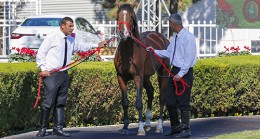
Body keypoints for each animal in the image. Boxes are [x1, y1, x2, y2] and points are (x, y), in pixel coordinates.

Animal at [114, 0, 171, 136]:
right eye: (118, 17)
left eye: (130, 16)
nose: (123, 34)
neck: (128, 53)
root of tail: (161, 37)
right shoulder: (120, 78)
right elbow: (125, 102)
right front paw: (125, 127)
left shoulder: (137, 77)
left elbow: (139, 102)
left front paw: (140, 129)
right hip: (146, 77)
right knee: (151, 92)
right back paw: (148, 122)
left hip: (163, 73)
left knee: (162, 97)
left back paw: (159, 126)